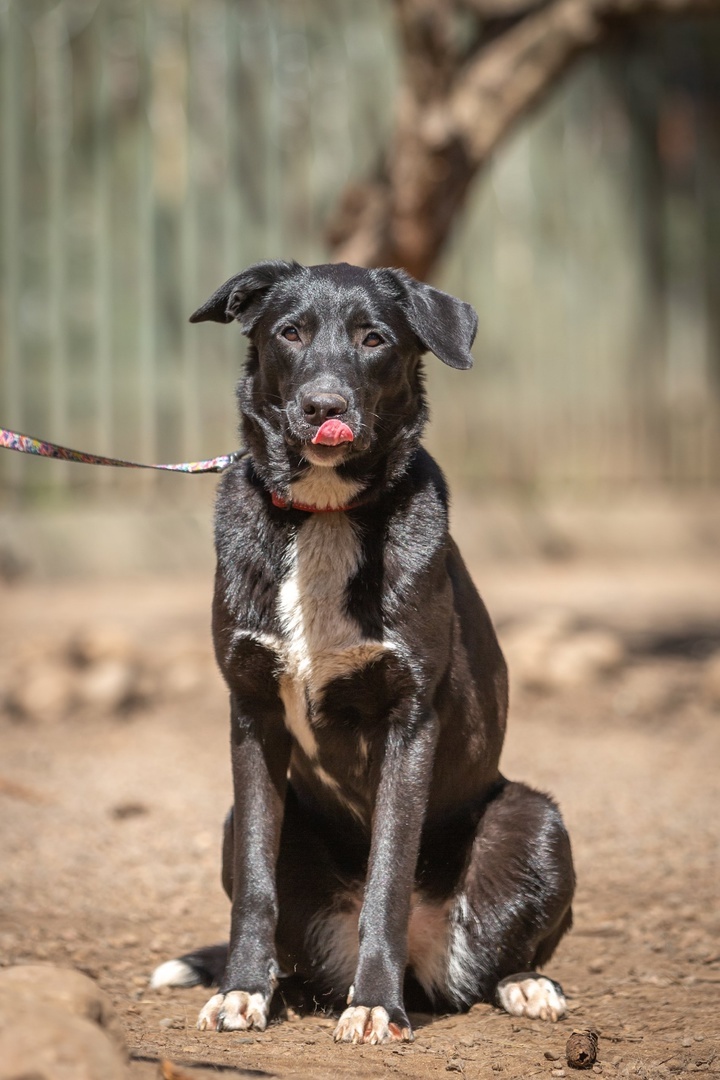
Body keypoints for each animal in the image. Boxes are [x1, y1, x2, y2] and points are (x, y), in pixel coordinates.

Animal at [151, 261, 574, 1045]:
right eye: (289, 332)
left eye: (373, 338)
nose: (324, 406)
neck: (325, 513)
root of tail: (425, 966)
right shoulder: (252, 715)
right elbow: (255, 884)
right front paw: (241, 991)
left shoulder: (409, 722)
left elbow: (388, 876)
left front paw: (375, 1005)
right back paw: (277, 985)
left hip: (537, 821)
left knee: (500, 956)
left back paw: (521, 983)